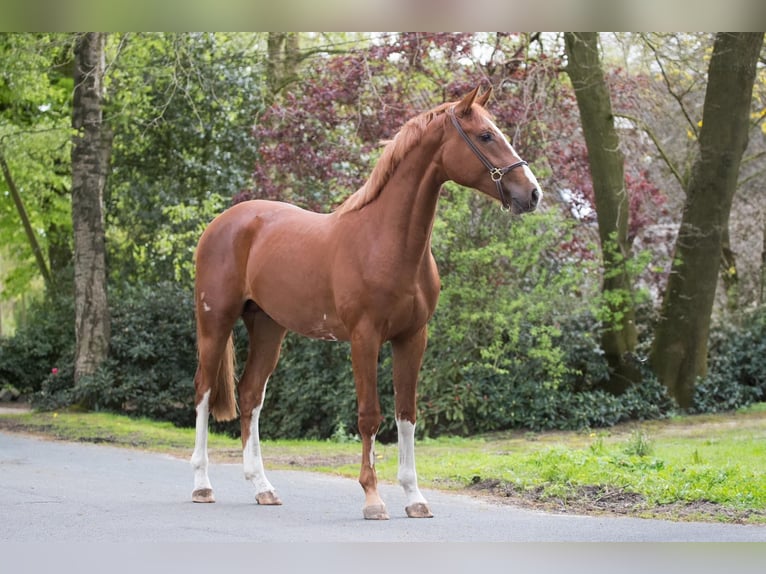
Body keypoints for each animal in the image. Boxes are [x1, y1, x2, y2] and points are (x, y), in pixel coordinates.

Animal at [190, 86, 544, 520]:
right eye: (486, 136)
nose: (532, 193)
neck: (385, 242)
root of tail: (222, 223)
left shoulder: (413, 338)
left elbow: (406, 415)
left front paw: (414, 497)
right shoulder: (364, 337)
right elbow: (370, 415)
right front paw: (373, 498)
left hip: (269, 327)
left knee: (250, 394)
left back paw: (263, 488)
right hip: (215, 322)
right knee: (204, 391)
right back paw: (202, 485)